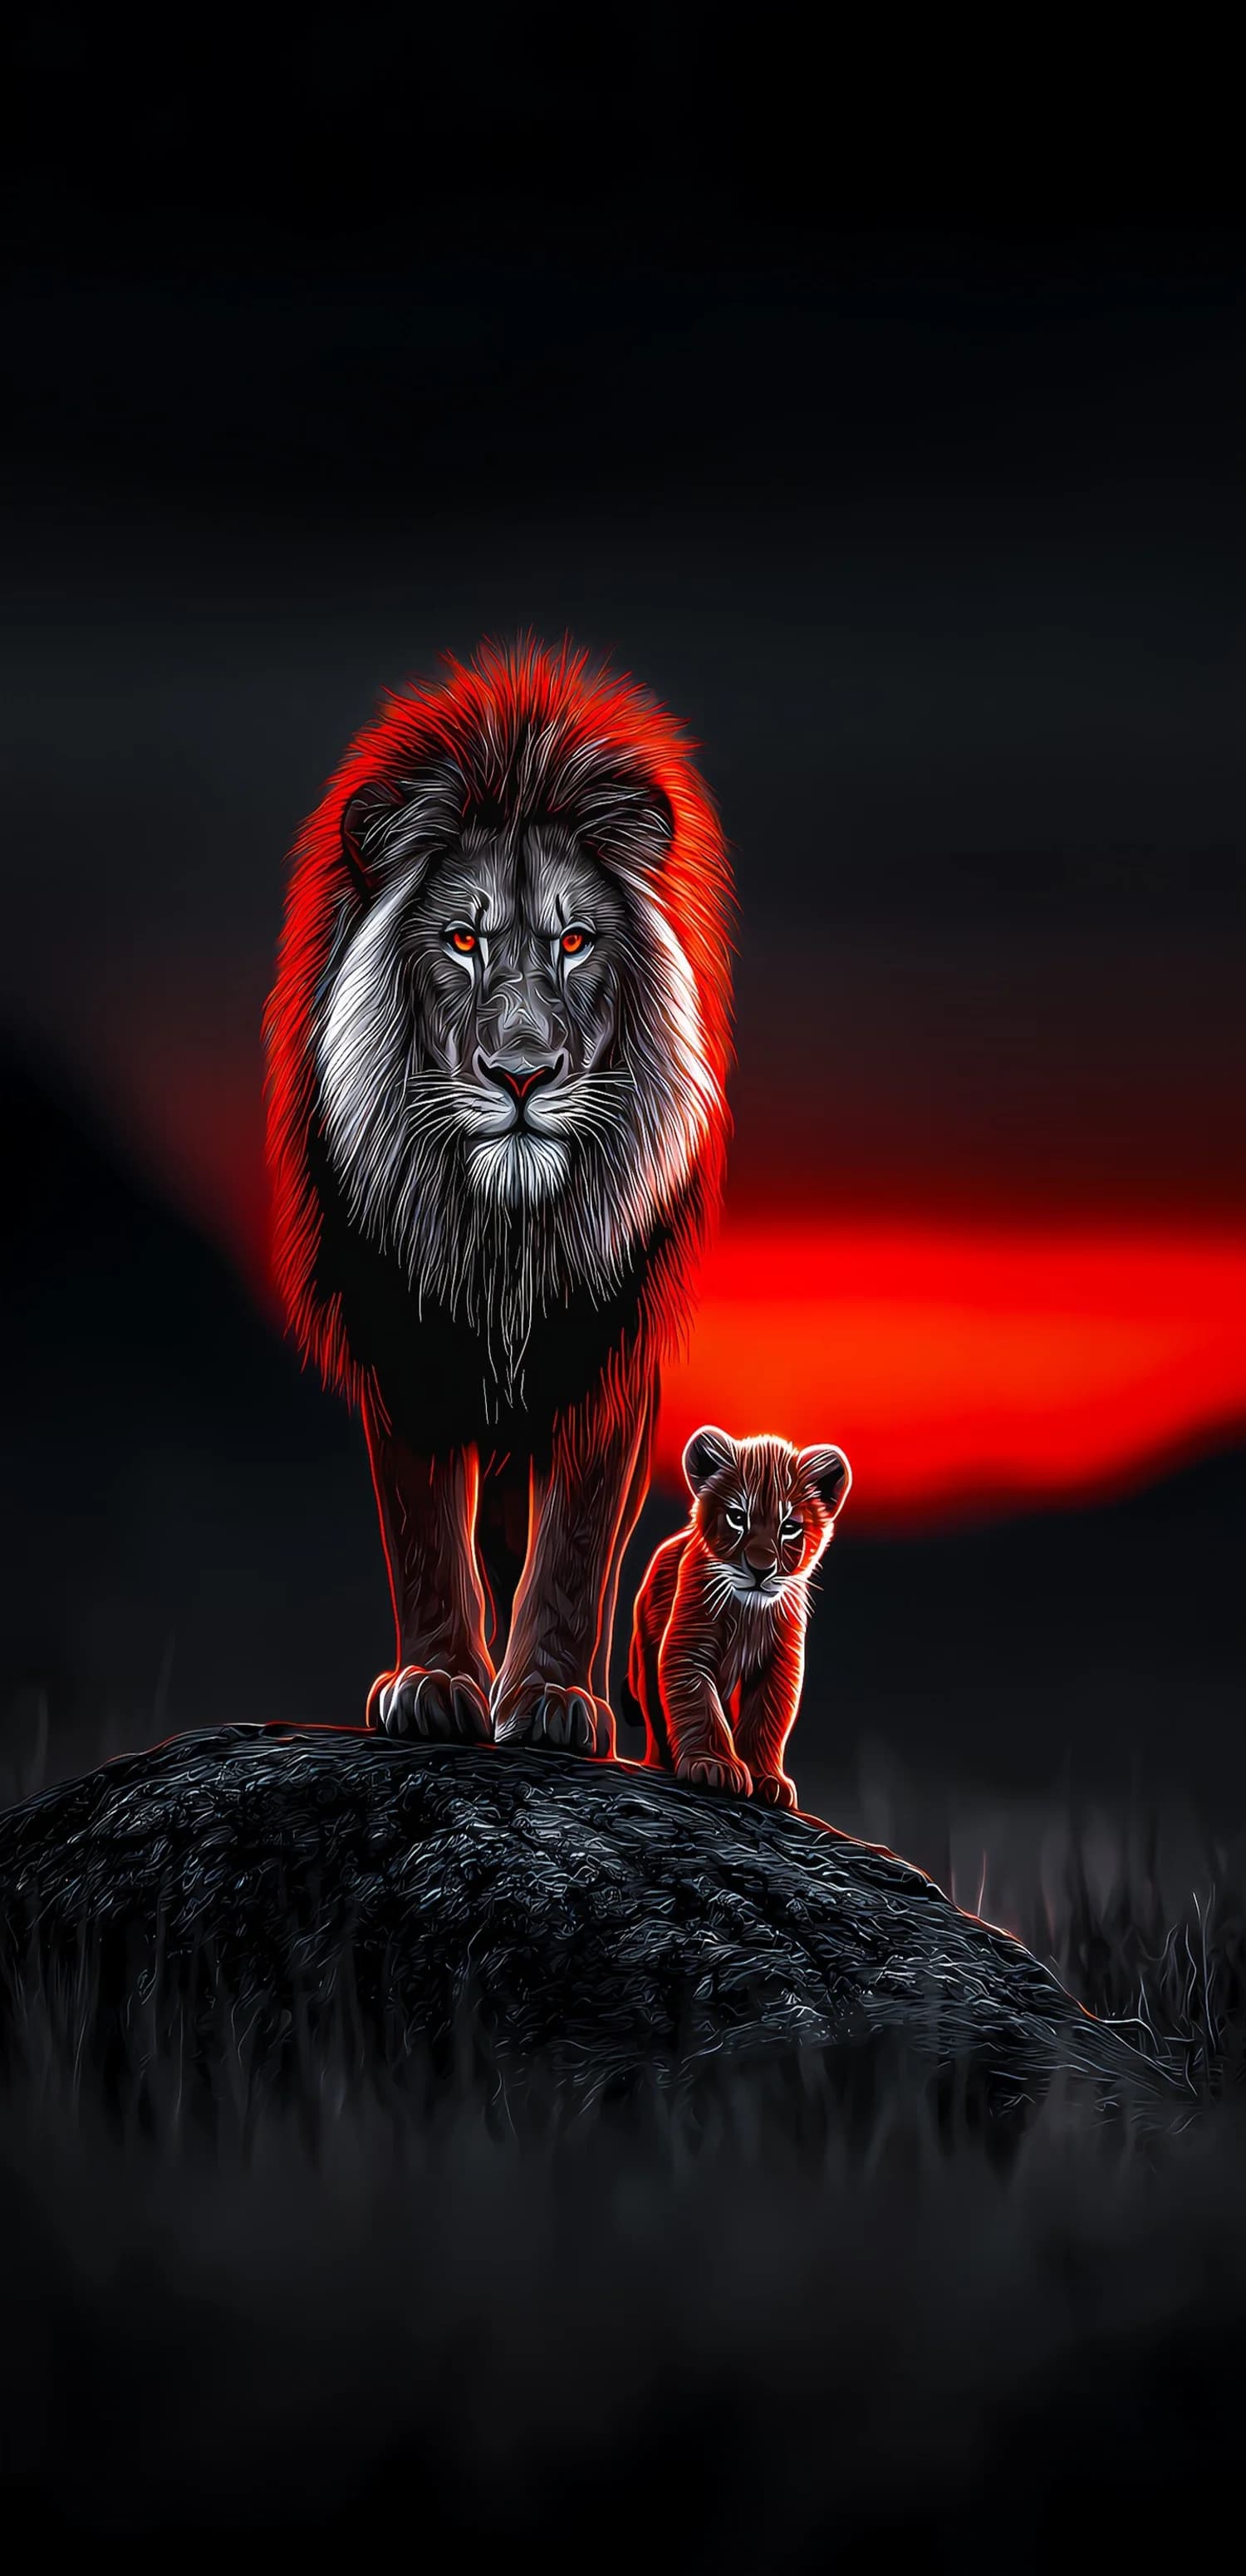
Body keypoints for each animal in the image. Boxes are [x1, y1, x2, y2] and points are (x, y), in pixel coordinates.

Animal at [265, 638, 733, 1756]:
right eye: (464, 942)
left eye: (574, 942)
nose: (523, 1074)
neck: (505, 1232)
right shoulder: (399, 1332)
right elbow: (426, 1533)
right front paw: (436, 1684)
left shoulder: (608, 1350)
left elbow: (575, 1546)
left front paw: (555, 1700)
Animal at [623, 1426, 851, 1808]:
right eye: (737, 1517)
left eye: (790, 1527)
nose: (761, 1569)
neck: (748, 1613)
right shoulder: (688, 1646)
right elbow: (698, 1705)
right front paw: (713, 1765)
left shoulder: (780, 1662)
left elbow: (766, 1718)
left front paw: (766, 1778)